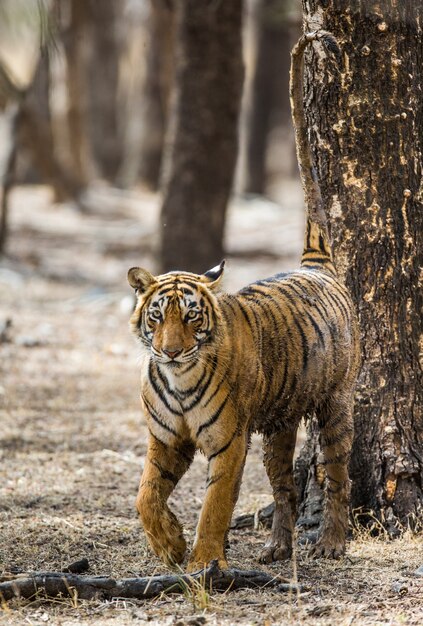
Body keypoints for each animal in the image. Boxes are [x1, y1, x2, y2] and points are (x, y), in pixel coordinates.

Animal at [127, 30, 360, 572]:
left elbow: (216, 502)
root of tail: (315, 265)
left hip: (335, 406)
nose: (171, 351)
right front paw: (169, 543)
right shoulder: (164, 440)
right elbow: (146, 495)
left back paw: (331, 542)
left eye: (192, 317)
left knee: (337, 478)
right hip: (279, 427)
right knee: (285, 488)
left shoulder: (228, 441)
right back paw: (278, 547)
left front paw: (201, 561)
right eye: (157, 316)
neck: (178, 378)